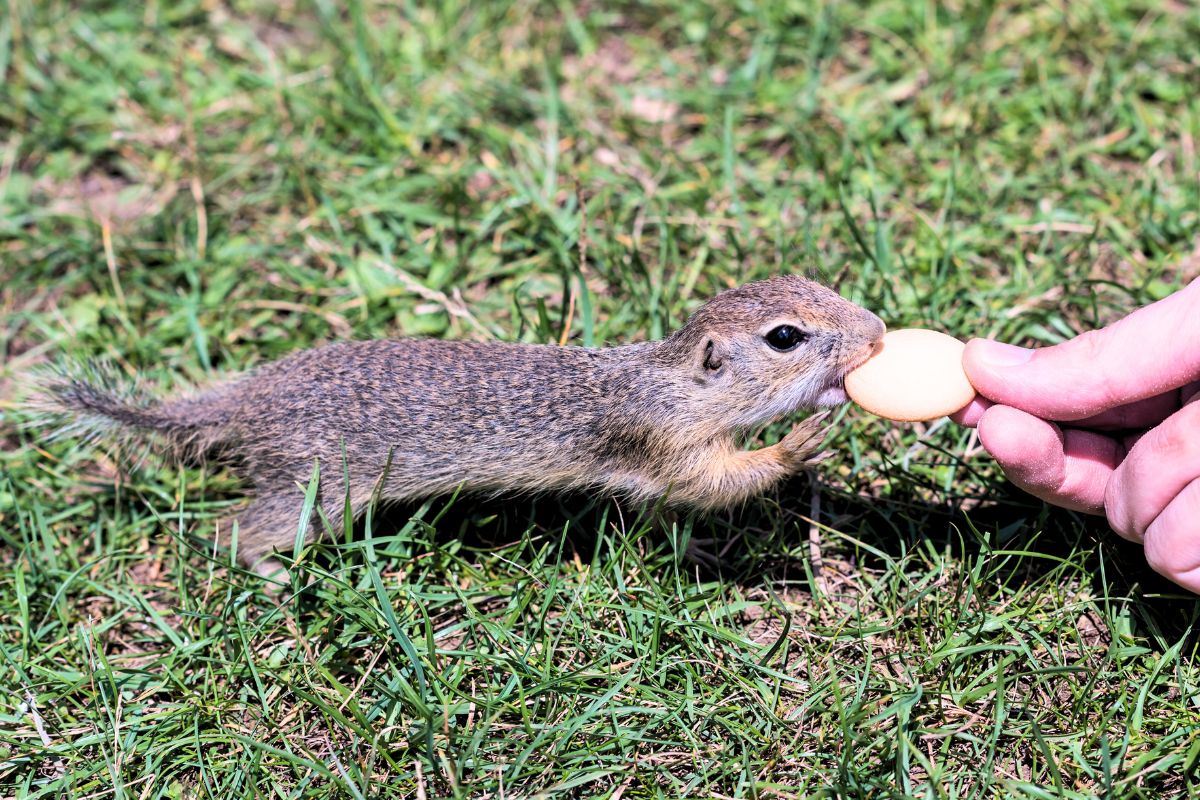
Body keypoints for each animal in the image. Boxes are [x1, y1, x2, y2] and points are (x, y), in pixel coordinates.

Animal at [37, 275, 883, 575]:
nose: (876, 334)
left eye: (816, 281)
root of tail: (243, 403)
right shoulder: (663, 440)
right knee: (230, 534)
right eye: (785, 337)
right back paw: (274, 578)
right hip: (313, 491)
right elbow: (713, 481)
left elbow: (673, 514)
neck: (670, 377)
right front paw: (798, 442)